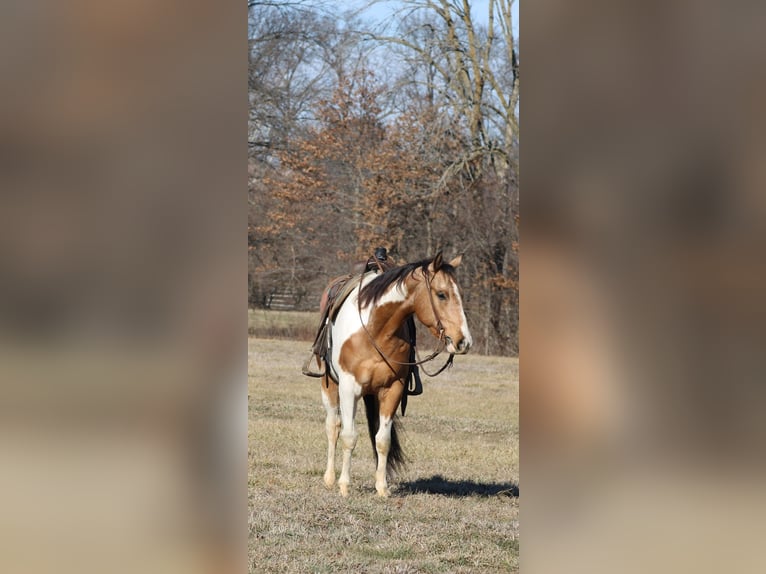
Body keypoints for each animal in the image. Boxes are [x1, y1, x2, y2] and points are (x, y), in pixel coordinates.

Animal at [320, 251, 473, 497]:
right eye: (441, 294)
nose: (463, 341)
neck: (375, 329)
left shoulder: (393, 389)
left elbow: (383, 440)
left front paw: (382, 488)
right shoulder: (348, 388)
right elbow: (349, 436)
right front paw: (344, 486)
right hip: (330, 386)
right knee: (333, 426)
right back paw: (330, 478)